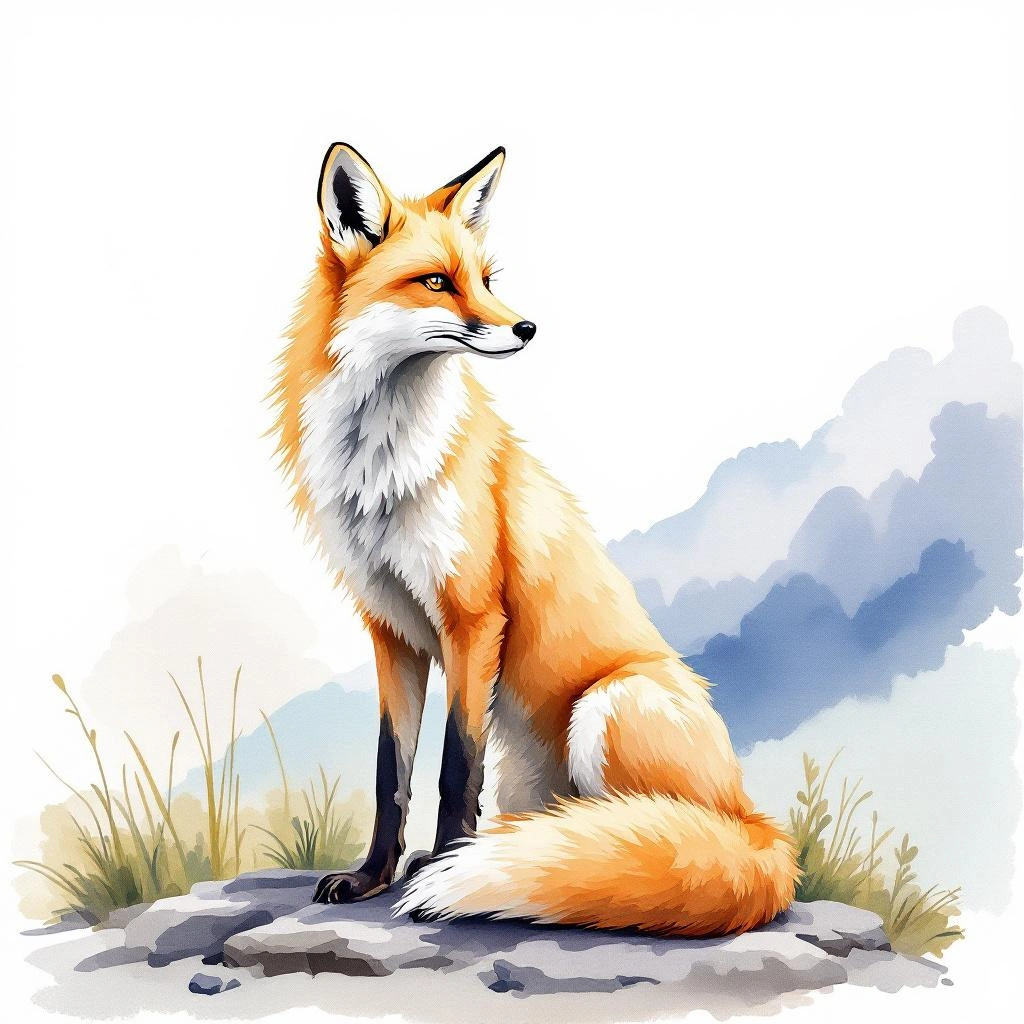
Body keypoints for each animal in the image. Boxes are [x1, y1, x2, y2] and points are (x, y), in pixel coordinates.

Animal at [271, 143, 798, 936]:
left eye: (487, 280)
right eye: (436, 281)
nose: (527, 328)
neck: (385, 472)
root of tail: (762, 829)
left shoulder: (473, 620)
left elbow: (455, 769)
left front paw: (443, 868)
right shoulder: (391, 632)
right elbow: (391, 773)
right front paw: (371, 878)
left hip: (608, 706)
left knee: (656, 836)